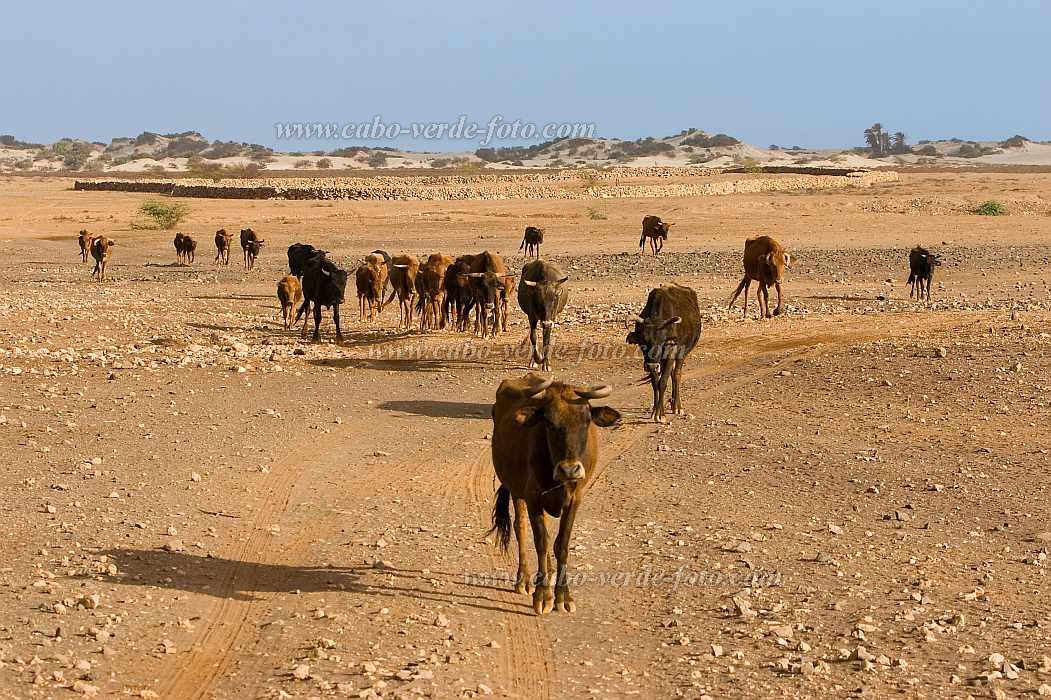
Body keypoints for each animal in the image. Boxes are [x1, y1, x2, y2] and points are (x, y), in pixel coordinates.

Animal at [487, 369, 617, 609]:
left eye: (586, 420)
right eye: (549, 422)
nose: (570, 469)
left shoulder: (575, 498)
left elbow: (561, 544)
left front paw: (563, 597)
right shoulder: (532, 497)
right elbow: (541, 541)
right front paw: (543, 595)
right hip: (516, 491)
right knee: (521, 528)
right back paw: (524, 581)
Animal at [626, 281, 702, 420]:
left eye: (662, 342)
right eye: (643, 342)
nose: (652, 365)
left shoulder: (671, 352)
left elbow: (663, 382)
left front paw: (660, 415)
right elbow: (655, 383)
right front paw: (655, 411)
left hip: (682, 354)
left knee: (676, 374)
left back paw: (677, 407)